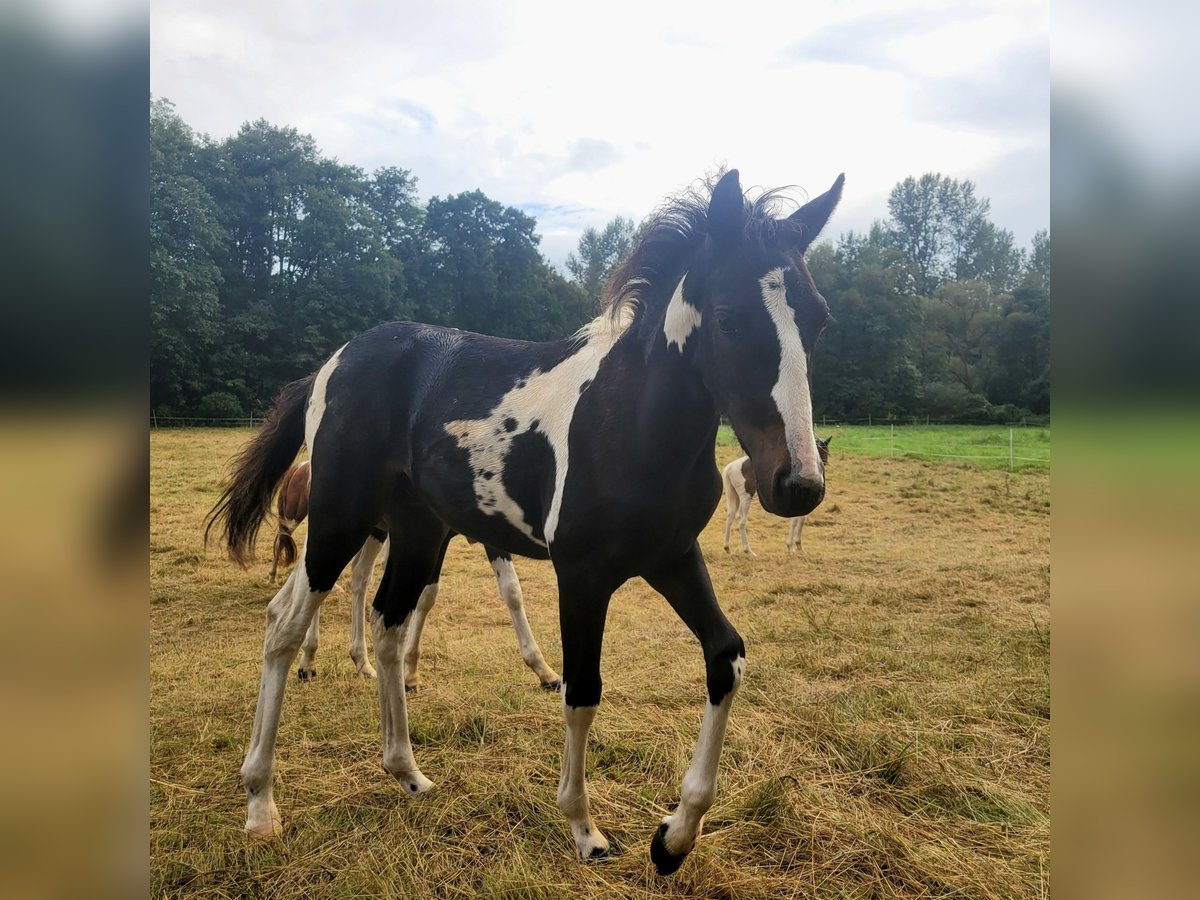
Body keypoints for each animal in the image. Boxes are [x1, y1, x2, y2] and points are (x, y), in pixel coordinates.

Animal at [267, 460, 556, 686]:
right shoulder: (436, 537)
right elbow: (427, 596)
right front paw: (410, 671)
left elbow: (511, 591)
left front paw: (544, 671)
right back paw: (308, 659)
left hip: (374, 531)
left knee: (358, 576)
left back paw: (357, 662)